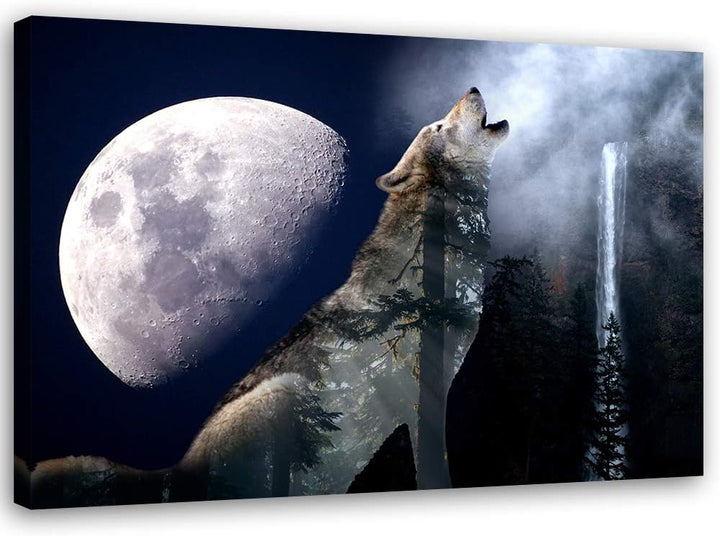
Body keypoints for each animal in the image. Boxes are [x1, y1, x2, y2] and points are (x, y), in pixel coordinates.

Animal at [27, 88, 508, 506]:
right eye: (440, 126)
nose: (472, 88)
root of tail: (176, 470)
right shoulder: (423, 394)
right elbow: (436, 473)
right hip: (286, 397)